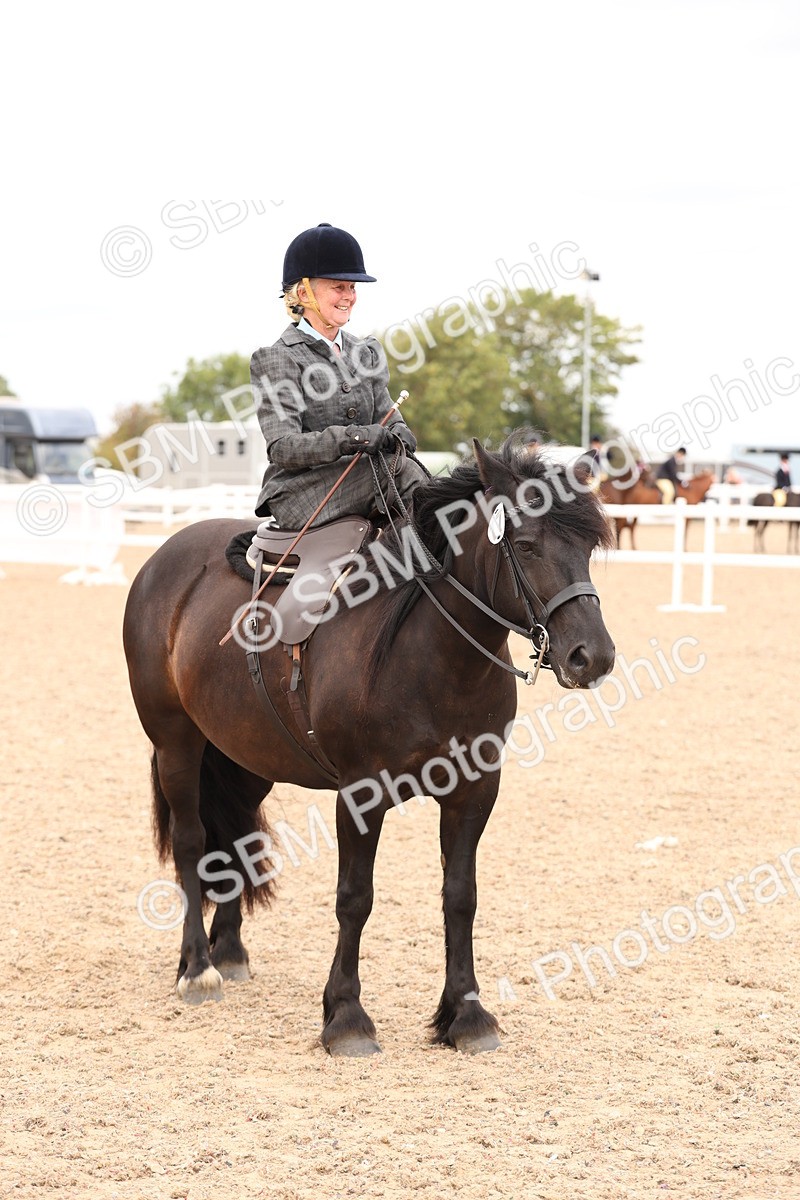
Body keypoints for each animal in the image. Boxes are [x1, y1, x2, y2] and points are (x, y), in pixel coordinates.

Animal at [122, 436, 616, 1056]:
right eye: (525, 545)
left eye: (588, 546)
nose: (592, 656)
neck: (429, 653)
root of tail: (164, 561)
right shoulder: (361, 794)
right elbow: (355, 897)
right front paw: (346, 1016)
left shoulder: (475, 791)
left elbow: (461, 896)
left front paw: (466, 1015)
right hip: (176, 742)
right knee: (191, 842)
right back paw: (197, 967)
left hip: (246, 754)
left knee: (232, 836)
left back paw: (229, 951)